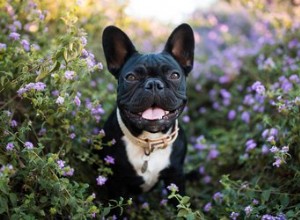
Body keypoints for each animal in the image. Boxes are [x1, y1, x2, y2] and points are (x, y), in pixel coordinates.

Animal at [99, 23, 195, 201]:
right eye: (130, 77)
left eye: (174, 75)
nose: (154, 84)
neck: (149, 141)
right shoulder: (117, 183)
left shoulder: (176, 175)